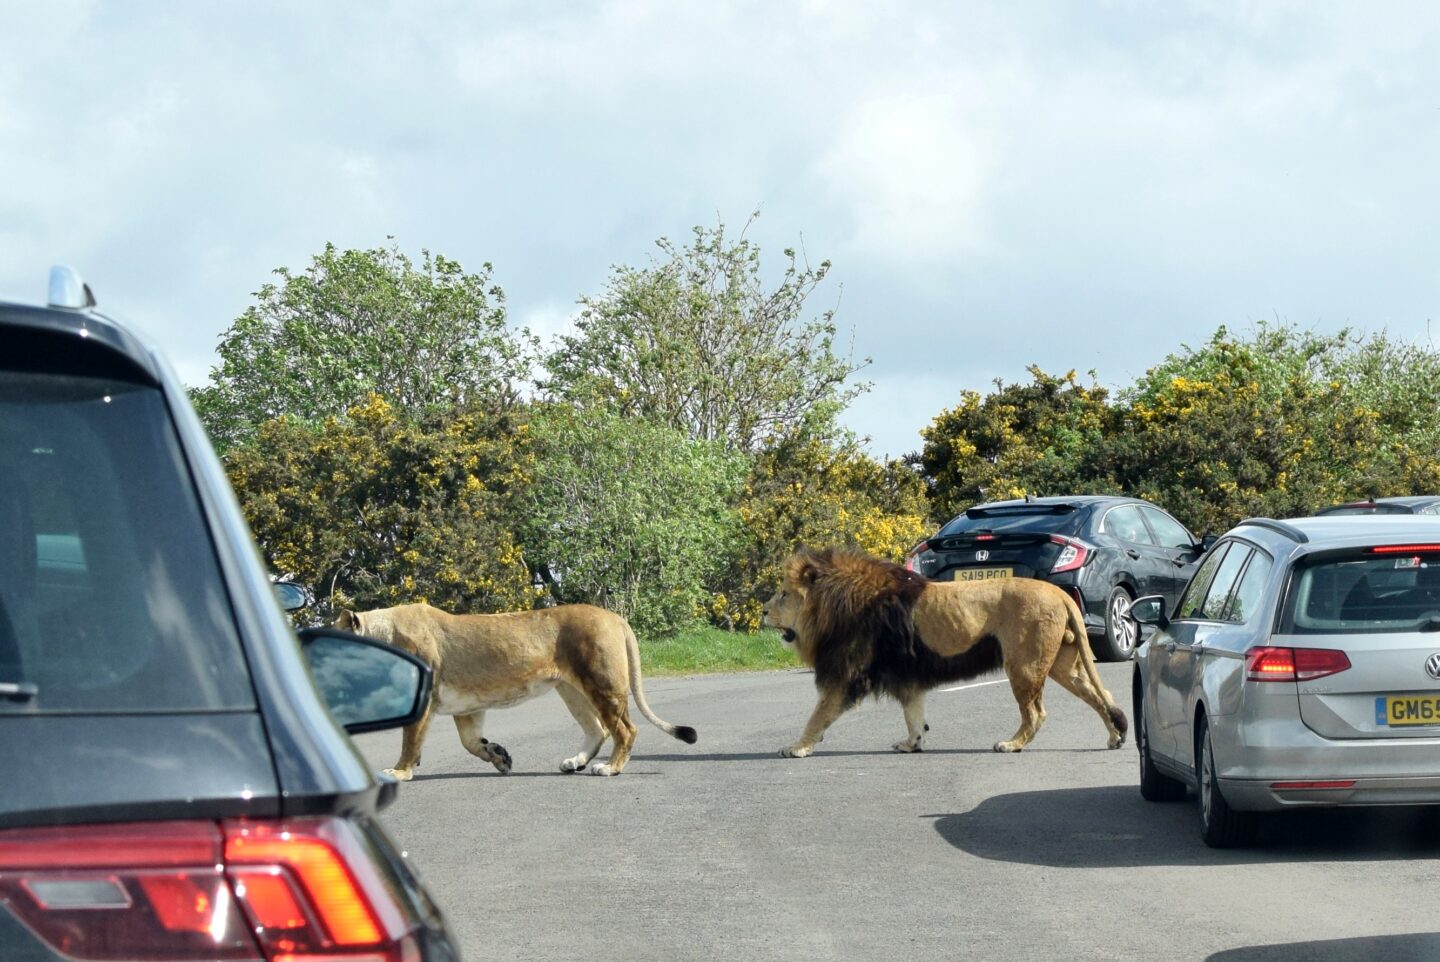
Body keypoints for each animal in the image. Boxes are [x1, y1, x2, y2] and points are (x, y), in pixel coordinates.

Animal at [334, 602, 697, 778]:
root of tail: (615, 617)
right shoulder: (467, 706)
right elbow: (470, 742)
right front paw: (500, 757)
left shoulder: (423, 699)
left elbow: (410, 741)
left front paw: (399, 772)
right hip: (571, 689)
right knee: (598, 730)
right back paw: (575, 762)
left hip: (602, 684)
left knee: (625, 729)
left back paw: (609, 768)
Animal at [761, 548, 1127, 757]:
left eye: (783, 594)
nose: (763, 611)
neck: (833, 606)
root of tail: (1058, 593)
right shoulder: (907, 678)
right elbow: (914, 715)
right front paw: (911, 744)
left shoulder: (845, 674)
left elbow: (818, 714)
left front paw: (796, 747)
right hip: (1061, 664)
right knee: (1102, 694)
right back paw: (1115, 737)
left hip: (1024, 665)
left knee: (1036, 713)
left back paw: (1011, 745)